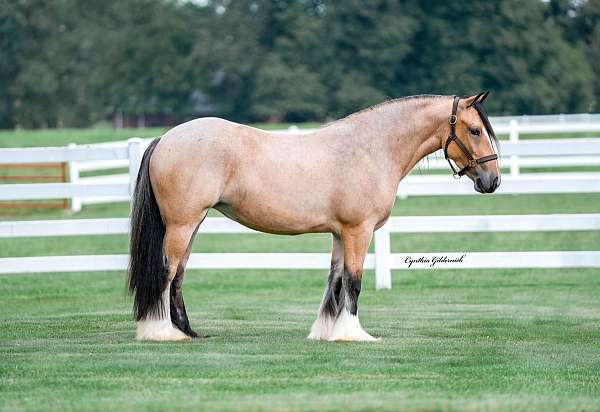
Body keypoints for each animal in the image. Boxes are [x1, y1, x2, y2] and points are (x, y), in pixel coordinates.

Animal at [127, 92, 502, 342]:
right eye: (474, 130)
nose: (493, 181)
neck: (371, 148)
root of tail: (165, 138)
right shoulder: (358, 231)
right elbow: (353, 281)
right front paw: (353, 334)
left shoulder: (340, 233)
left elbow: (335, 279)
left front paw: (325, 332)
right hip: (182, 224)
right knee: (167, 271)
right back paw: (161, 332)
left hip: (193, 224)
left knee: (178, 274)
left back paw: (186, 331)